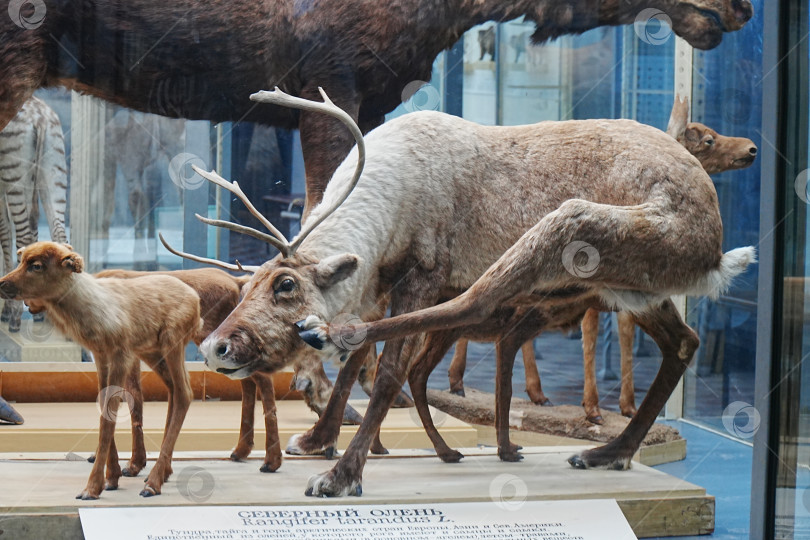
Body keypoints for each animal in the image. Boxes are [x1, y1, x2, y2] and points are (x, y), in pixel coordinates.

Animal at [0, 243, 199, 500]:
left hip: (173, 342)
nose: (2, 284)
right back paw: (162, 473)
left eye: (36, 266)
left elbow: (109, 413)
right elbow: (104, 404)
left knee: (184, 393)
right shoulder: (100, 355)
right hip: (153, 352)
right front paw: (111, 477)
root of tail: (196, 301)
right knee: (174, 391)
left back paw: (153, 483)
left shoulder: (121, 354)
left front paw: (92, 488)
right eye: (21, 259)